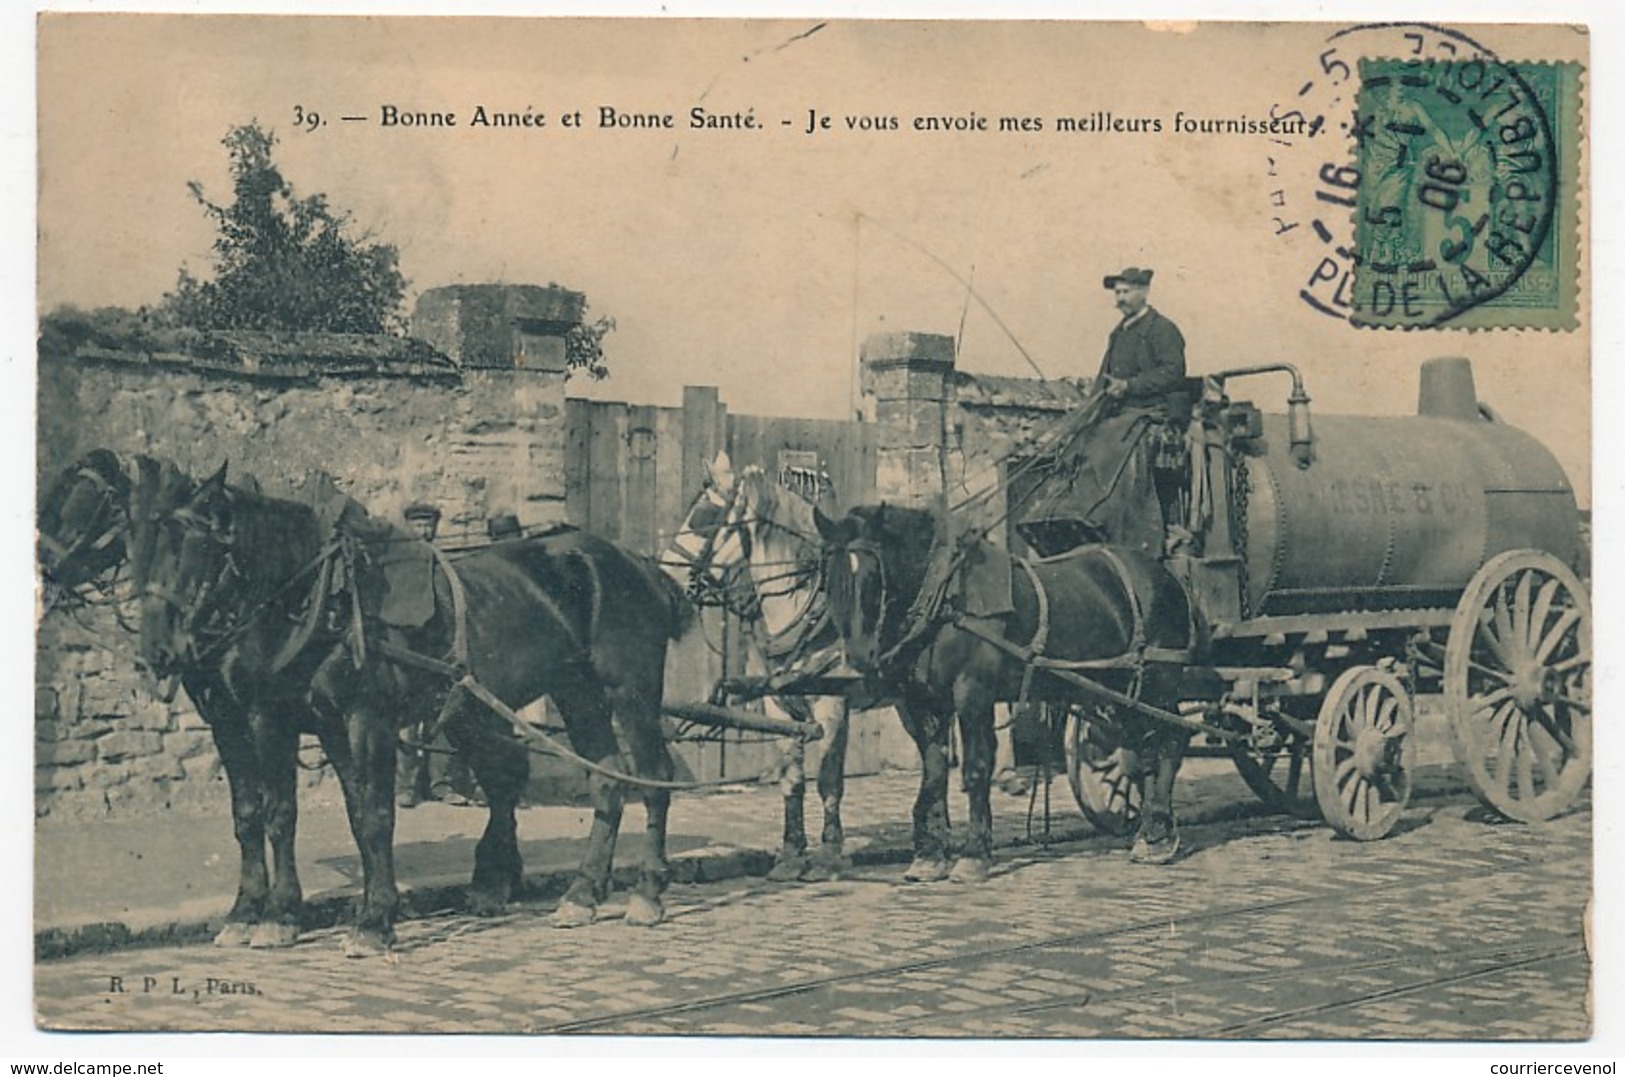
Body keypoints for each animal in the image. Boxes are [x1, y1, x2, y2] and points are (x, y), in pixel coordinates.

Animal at [138, 467, 692, 955]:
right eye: (144, 549)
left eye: (199, 547)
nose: (157, 651)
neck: (328, 597)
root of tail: (637, 562)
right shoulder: (302, 721)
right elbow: (318, 813)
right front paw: (283, 915)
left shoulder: (362, 720)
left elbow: (372, 817)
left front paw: (371, 922)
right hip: (575, 692)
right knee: (605, 779)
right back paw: (581, 892)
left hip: (630, 691)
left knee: (651, 776)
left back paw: (647, 891)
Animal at [819, 503, 1202, 877]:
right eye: (829, 581)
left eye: (873, 577)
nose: (858, 661)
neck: (945, 599)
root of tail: (1166, 576)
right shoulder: (923, 700)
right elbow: (934, 771)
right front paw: (930, 856)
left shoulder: (972, 692)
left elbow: (976, 767)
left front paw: (974, 854)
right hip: (1119, 688)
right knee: (1141, 747)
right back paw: (1151, 827)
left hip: (1157, 680)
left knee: (1170, 739)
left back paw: (1157, 836)